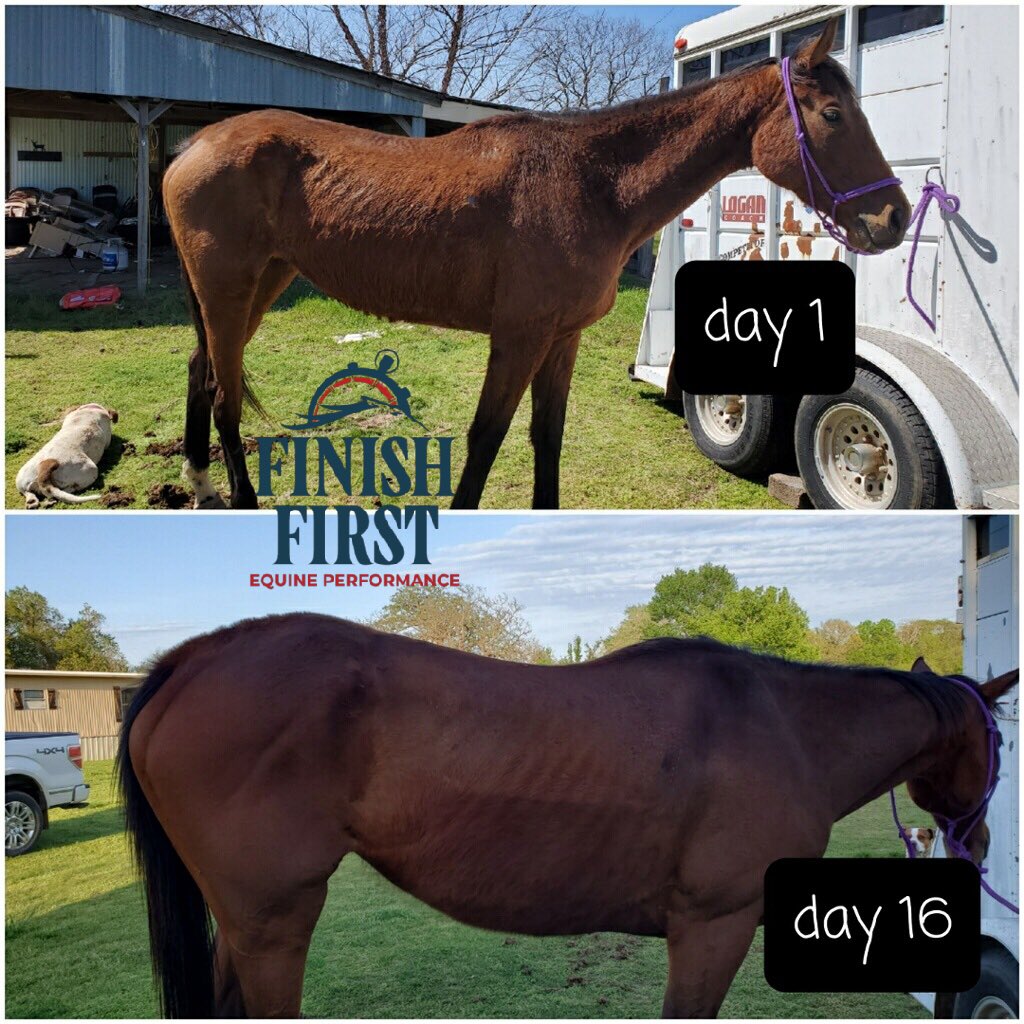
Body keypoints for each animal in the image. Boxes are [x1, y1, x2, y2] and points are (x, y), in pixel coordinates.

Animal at [117, 612, 1017, 1018]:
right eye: (1000, 738)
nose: (979, 842)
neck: (784, 727)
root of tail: (195, 658)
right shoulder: (714, 926)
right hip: (274, 922)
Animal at [162, 18, 909, 511]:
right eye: (833, 114)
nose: (894, 218)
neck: (590, 182)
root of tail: (194, 143)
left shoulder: (561, 339)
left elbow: (546, 439)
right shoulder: (518, 337)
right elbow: (486, 438)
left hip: (260, 285)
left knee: (202, 373)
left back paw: (198, 483)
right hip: (231, 292)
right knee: (226, 397)